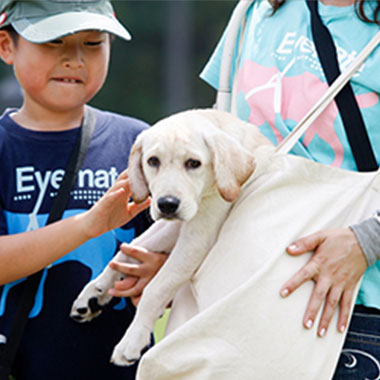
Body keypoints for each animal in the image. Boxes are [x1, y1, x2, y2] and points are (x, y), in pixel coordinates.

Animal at [70, 108, 274, 366]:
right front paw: (95, 291)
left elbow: (155, 288)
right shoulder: (175, 225)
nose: (167, 204)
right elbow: (130, 249)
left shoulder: (196, 237)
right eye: (153, 161)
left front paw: (132, 340)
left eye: (194, 163)